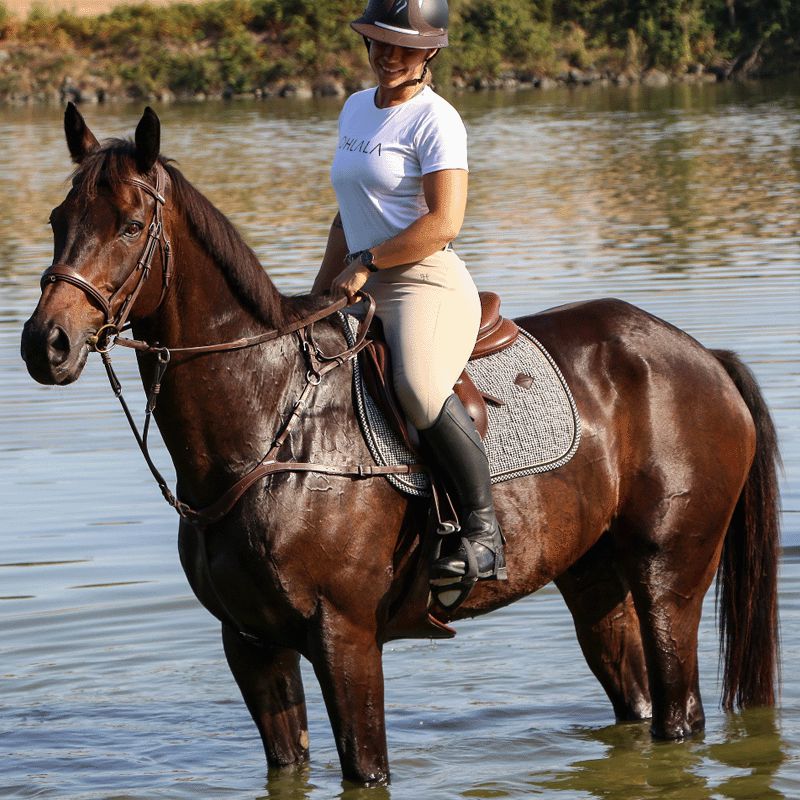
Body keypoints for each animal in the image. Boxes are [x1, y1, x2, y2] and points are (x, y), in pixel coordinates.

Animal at [20, 104, 780, 786]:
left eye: (129, 226)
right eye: (59, 221)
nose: (45, 344)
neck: (268, 426)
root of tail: (702, 355)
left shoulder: (345, 638)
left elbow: (366, 768)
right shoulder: (251, 645)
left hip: (668, 578)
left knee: (679, 716)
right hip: (594, 580)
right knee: (639, 704)